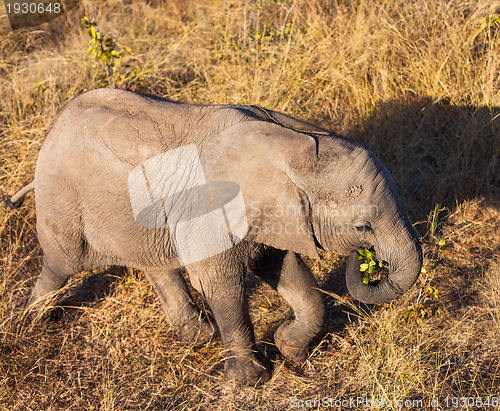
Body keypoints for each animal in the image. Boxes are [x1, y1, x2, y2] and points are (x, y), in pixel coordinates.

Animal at [7, 89, 422, 386]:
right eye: (362, 227)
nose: (370, 261)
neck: (293, 145)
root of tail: (51, 131)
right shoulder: (211, 209)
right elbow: (221, 283)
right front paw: (250, 381)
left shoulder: (269, 215)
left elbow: (286, 270)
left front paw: (288, 349)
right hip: (62, 199)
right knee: (62, 263)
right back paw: (32, 321)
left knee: (154, 262)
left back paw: (198, 338)